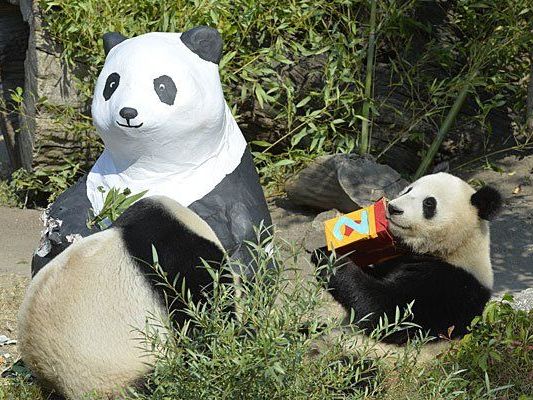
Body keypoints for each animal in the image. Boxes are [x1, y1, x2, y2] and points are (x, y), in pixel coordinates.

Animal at [32, 25, 270, 276]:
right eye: (112, 84)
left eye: (163, 85)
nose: (128, 112)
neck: (149, 161)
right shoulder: (99, 179)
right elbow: (71, 205)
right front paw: (65, 231)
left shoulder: (222, 178)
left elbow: (218, 226)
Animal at [312, 173, 498, 346]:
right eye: (408, 190)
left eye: (429, 203)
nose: (393, 208)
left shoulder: (448, 288)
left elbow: (387, 313)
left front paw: (329, 257)